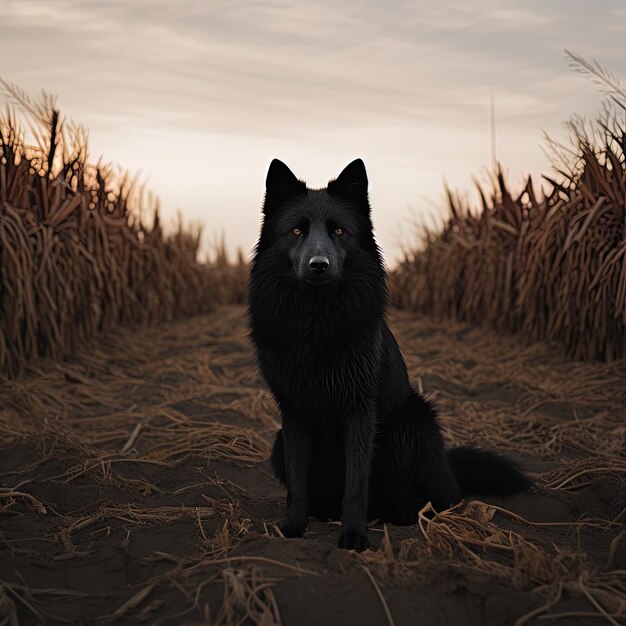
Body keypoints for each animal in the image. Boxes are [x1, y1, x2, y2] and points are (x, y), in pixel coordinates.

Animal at [246, 158, 528, 548]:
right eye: (297, 232)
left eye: (339, 231)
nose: (318, 264)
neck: (316, 321)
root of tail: (448, 469)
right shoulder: (294, 413)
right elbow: (299, 480)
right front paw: (292, 527)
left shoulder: (360, 412)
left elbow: (356, 483)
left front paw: (353, 536)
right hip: (279, 443)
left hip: (412, 424)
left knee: (430, 498)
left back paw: (405, 515)